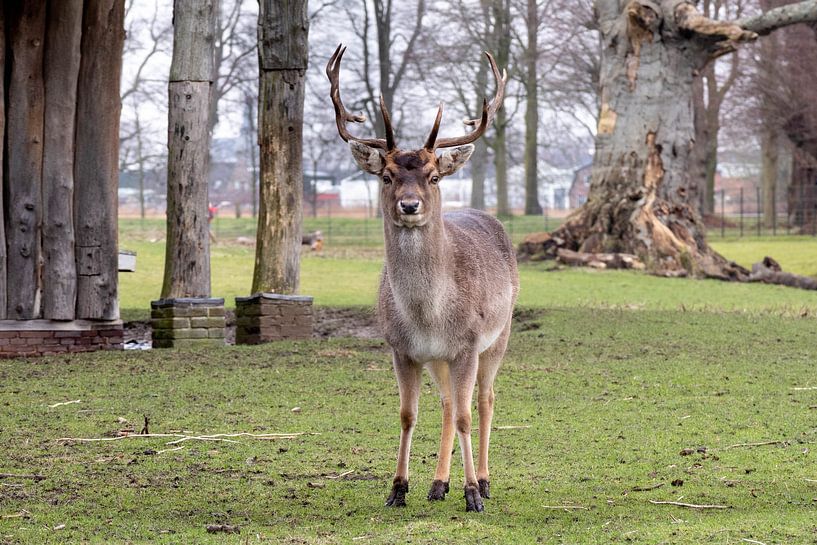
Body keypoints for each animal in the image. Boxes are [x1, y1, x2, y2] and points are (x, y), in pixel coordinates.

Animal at [326, 44, 516, 512]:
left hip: (500, 335)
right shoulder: (402, 348)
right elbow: (408, 415)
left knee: (483, 400)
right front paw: (398, 488)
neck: (429, 316)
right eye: (386, 175)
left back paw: (484, 481)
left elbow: (466, 415)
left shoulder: (467, 344)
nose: (409, 205)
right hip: (439, 360)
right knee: (448, 403)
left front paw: (473, 494)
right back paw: (438, 484)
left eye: (432, 176)